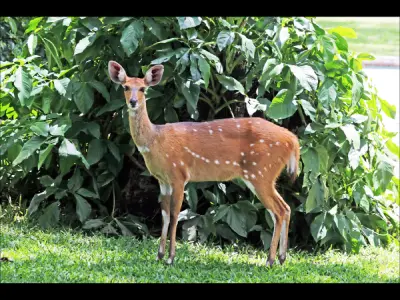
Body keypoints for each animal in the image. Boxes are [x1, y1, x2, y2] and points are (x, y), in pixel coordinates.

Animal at [107, 61, 300, 268]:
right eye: (126, 87)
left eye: (143, 88)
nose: (133, 102)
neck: (155, 140)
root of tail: (292, 140)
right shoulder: (162, 180)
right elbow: (164, 214)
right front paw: (159, 255)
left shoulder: (178, 175)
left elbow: (175, 215)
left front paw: (171, 257)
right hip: (264, 175)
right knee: (285, 208)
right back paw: (281, 258)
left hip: (261, 172)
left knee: (279, 210)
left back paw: (270, 260)